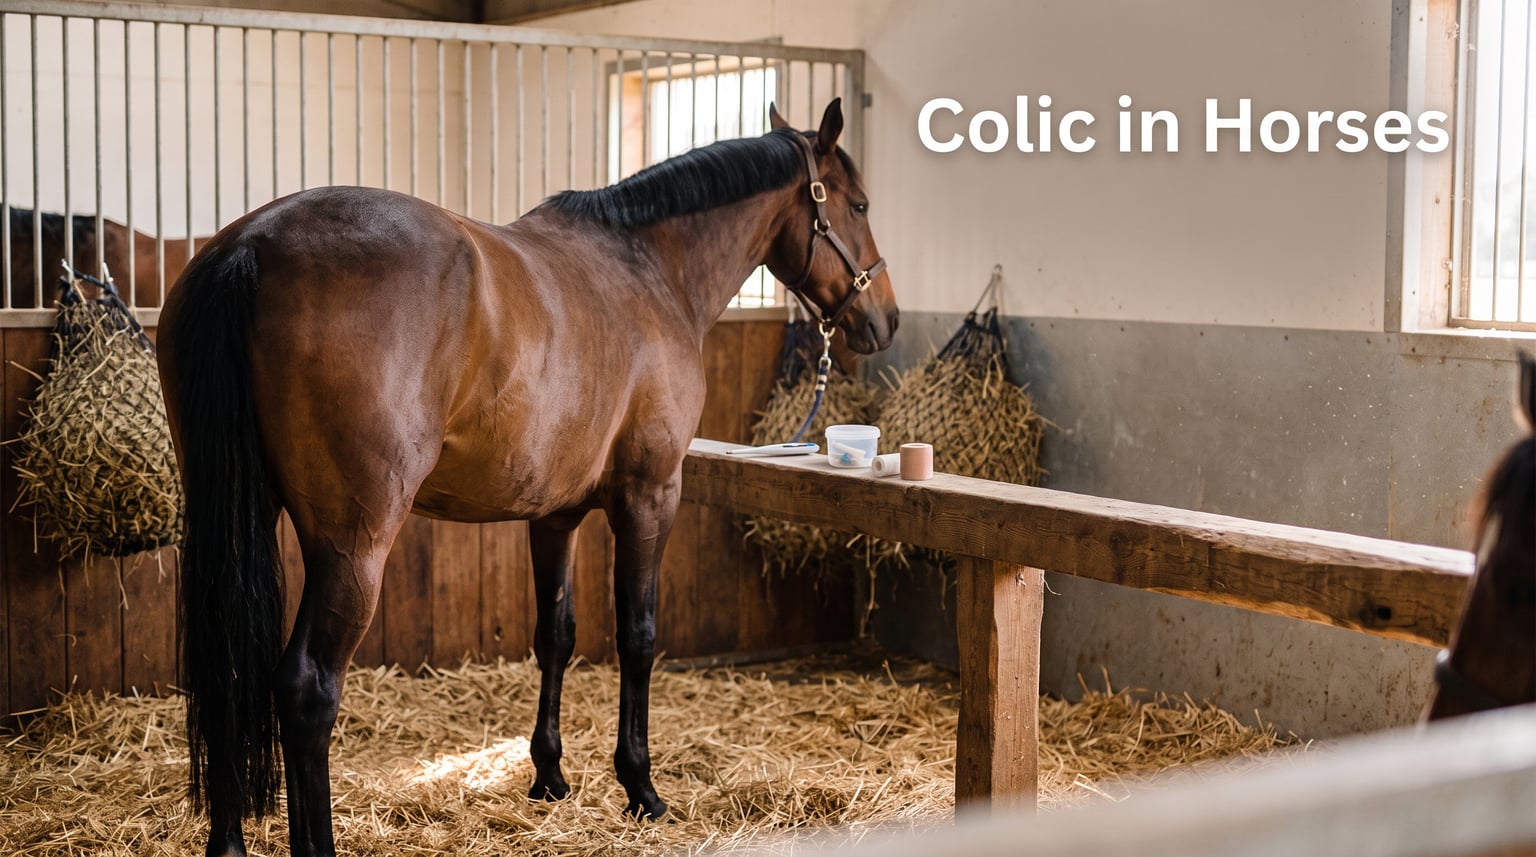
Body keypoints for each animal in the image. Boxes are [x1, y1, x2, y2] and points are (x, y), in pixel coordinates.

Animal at [157, 98, 897, 857]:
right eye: (859, 203)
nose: (885, 319)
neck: (649, 269)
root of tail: (252, 246)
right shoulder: (650, 493)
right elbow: (638, 634)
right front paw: (640, 786)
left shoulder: (555, 512)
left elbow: (556, 634)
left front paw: (549, 776)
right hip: (353, 543)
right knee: (307, 687)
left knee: (227, 667)